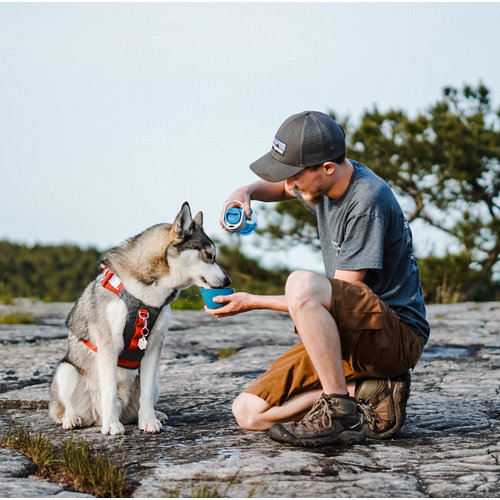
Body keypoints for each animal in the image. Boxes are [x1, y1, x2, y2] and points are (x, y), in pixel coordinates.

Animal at [49, 201, 229, 436]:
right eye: (209, 255)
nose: (228, 281)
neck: (147, 293)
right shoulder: (108, 346)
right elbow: (108, 390)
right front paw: (112, 425)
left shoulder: (153, 346)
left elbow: (146, 393)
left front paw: (148, 420)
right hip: (66, 371)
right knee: (66, 409)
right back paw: (75, 419)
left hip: (155, 382)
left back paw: (153, 414)